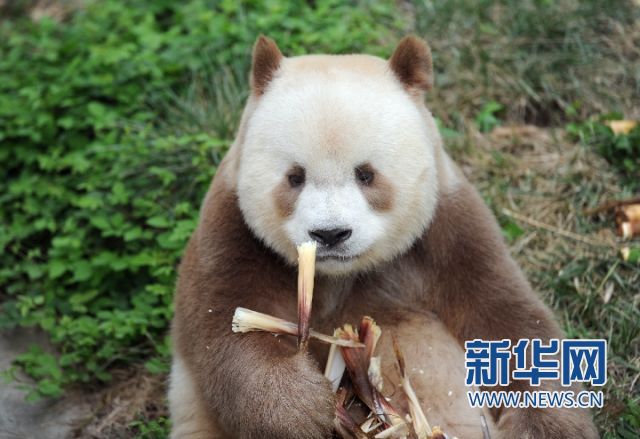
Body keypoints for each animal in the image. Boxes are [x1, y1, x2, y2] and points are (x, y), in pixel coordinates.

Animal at [168, 35, 599, 439]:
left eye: (366, 174)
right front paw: (299, 408)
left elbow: (507, 318)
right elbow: (229, 329)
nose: (330, 234)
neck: (338, 276)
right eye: (294, 177)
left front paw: (548, 424)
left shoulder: (448, 233)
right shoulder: (232, 233)